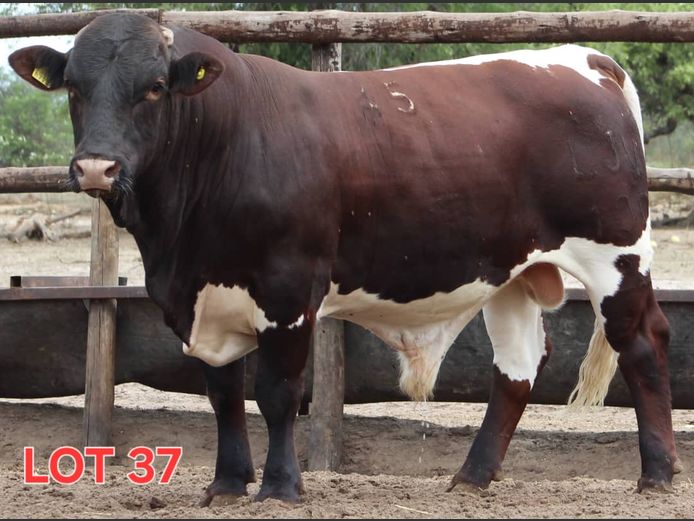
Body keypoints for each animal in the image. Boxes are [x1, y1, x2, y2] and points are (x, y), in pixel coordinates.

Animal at [9, 12, 681, 504]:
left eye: (152, 89)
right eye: (74, 89)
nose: (97, 167)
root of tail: (586, 60)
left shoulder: (287, 292)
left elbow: (278, 393)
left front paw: (280, 489)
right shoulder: (205, 298)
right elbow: (223, 393)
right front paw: (226, 485)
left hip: (616, 257)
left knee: (644, 344)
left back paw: (657, 475)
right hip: (511, 273)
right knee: (516, 368)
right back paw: (471, 477)